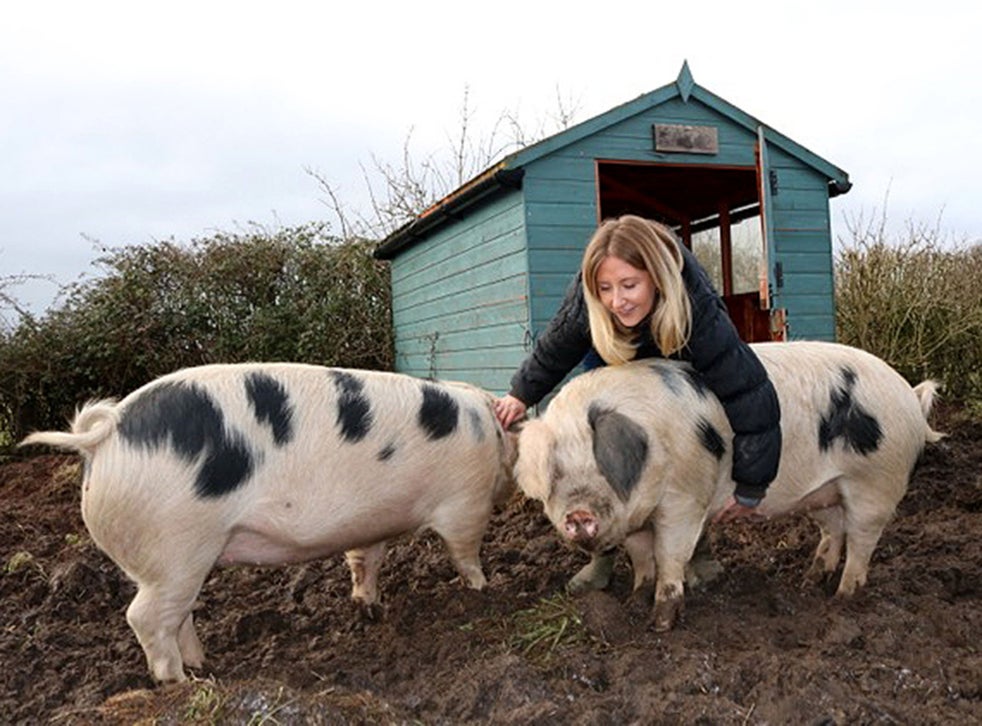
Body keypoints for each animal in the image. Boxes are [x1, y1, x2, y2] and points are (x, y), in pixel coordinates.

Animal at [21, 366, 516, 684]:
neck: (487, 428)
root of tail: (105, 437)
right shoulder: (465, 502)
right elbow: (465, 550)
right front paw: (483, 589)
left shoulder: (371, 524)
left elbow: (365, 559)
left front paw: (369, 608)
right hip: (176, 545)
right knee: (143, 617)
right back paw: (180, 684)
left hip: (177, 562)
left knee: (175, 615)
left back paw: (202, 666)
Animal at [516, 342, 944, 632]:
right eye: (555, 474)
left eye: (600, 463)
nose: (578, 514)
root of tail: (909, 394)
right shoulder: (635, 516)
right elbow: (641, 558)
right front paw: (634, 602)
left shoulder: (685, 498)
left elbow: (669, 555)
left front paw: (660, 623)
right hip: (828, 492)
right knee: (834, 532)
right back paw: (808, 583)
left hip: (874, 483)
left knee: (861, 542)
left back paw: (843, 598)